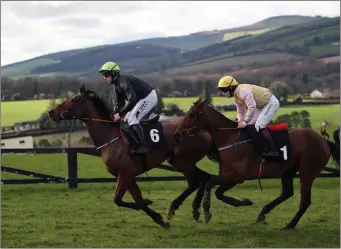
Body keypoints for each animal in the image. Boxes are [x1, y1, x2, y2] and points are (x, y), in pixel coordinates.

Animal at [47, 85, 250, 228]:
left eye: (75, 99)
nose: (52, 112)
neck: (111, 138)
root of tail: (203, 129)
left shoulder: (125, 173)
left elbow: (119, 200)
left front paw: (154, 209)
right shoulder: (127, 175)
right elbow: (135, 200)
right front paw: (158, 218)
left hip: (183, 161)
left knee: (196, 181)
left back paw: (181, 208)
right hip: (178, 162)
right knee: (203, 178)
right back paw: (194, 209)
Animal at [174, 97, 338, 230]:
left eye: (191, 115)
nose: (176, 134)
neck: (230, 138)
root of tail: (324, 141)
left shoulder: (237, 176)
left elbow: (210, 183)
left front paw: (206, 211)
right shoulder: (232, 177)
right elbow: (217, 190)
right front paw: (242, 202)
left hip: (307, 172)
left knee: (304, 201)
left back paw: (289, 225)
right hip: (288, 172)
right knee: (287, 193)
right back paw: (263, 213)